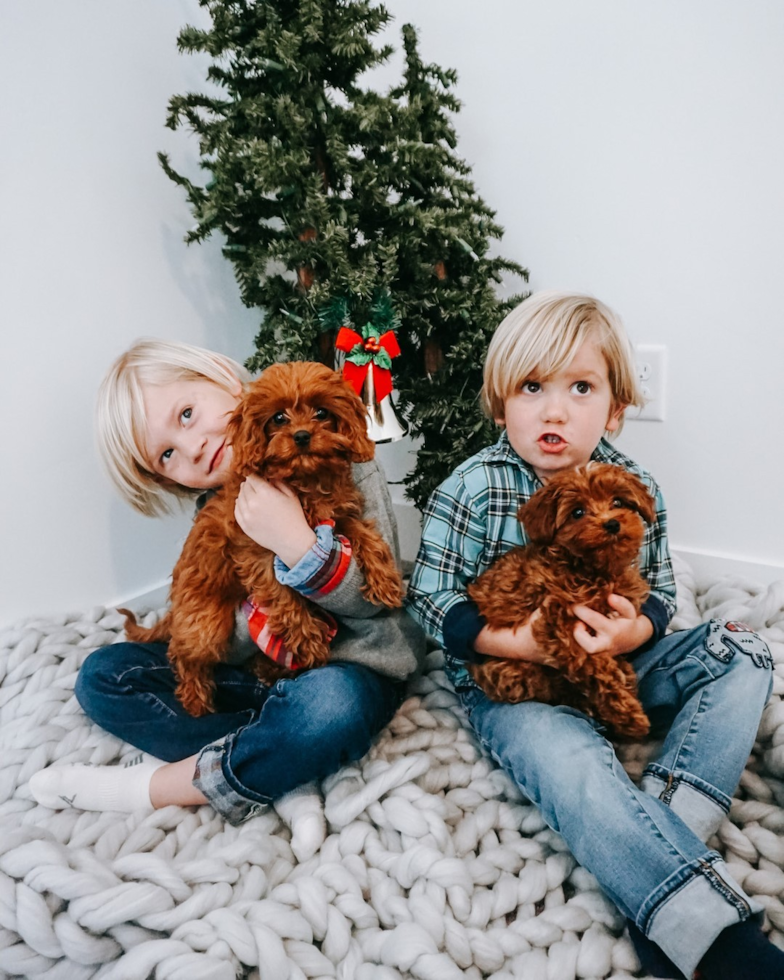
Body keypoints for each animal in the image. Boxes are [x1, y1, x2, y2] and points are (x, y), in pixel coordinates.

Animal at [124, 364, 404, 716]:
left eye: (321, 413)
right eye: (279, 418)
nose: (302, 435)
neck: (304, 481)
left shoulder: (336, 517)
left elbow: (363, 533)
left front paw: (384, 579)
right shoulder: (254, 549)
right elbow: (280, 591)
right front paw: (307, 639)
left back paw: (270, 671)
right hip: (206, 621)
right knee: (183, 653)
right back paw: (196, 702)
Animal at [466, 464, 656, 740]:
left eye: (618, 502)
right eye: (577, 512)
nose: (612, 524)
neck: (592, 569)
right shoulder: (561, 622)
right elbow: (595, 665)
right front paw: (627, 714)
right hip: (515, 674)